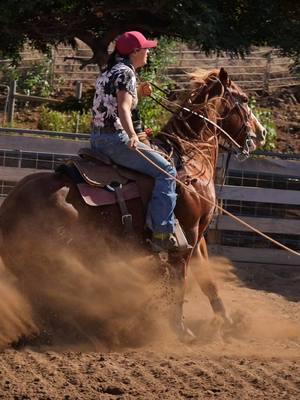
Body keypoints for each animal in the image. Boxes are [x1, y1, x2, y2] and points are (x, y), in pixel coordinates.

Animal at [0, 67, 266, 342]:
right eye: (245, 99)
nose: (262, 133)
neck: (190, 158)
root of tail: (10, 204)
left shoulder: (199, 233)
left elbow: (207, 280)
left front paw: (229, 323)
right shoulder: (189, 232)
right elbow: (179, 280)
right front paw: (180, 329)